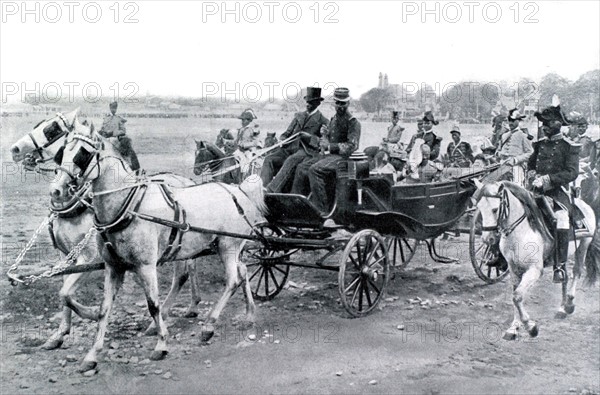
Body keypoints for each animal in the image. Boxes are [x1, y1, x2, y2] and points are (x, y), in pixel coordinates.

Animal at [9, 110, 204, 348]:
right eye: (39, 125)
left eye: (52, 129)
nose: (15, 149)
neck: (83, 203)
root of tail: (186, 180)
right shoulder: (66, 255)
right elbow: (64, 291)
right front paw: (60, 333)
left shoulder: (90, 257)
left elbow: (65, 293)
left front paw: (92, 314)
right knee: (190, 268)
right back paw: (192, 305)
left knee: (181, 275)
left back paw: (161, 319)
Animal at [50, 122, 266, 372]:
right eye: (61, 152)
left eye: (82, 153)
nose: (56, 190)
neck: (128, 206)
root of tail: (237, 190)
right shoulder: (113, 267)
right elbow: (104, 309)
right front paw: (92, 353)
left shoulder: (146, 266)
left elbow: (153, 305)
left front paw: (161, 345)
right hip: (225, 246)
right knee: (243, 271)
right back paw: (249, 314)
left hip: (227, 246)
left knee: (232, 280)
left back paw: (209, 326)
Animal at [476, 182, 596, 340]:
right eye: (479, 208)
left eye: (495, 209)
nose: (487, 239)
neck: (521, 231)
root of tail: (584, 204)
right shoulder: (514, 269)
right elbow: (515, 295)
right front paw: (514, 327)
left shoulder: (534, 270)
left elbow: (517, 296)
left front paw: (530, 326)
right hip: (563, 258)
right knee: (563, 276)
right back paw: (562, 308)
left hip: (583, 245)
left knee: (576, 272)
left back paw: (569, 304)